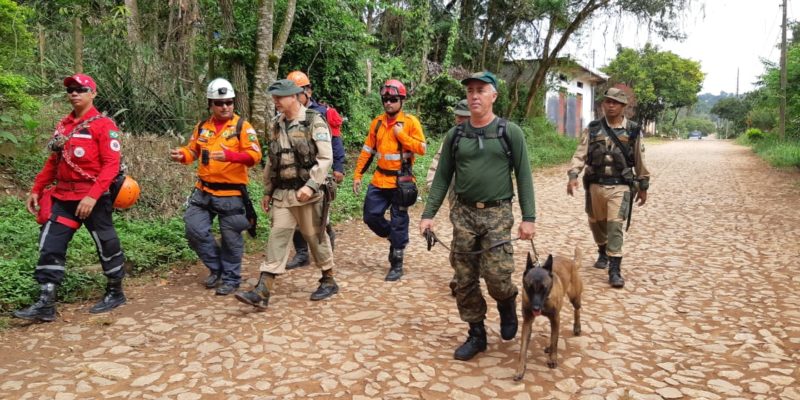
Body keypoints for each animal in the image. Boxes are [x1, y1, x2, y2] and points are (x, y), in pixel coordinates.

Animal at [512, 247, 580, 382]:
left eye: (544, 288)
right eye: (529, 287)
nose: (536, 308)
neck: (543, 301)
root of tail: (571, 261)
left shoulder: (555, 318)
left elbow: (555, 340)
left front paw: (553, 359)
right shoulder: (527, 322)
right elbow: (523, 349)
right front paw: (520, 369)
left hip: (575, 298)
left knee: (577, 310)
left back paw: (577, 327)